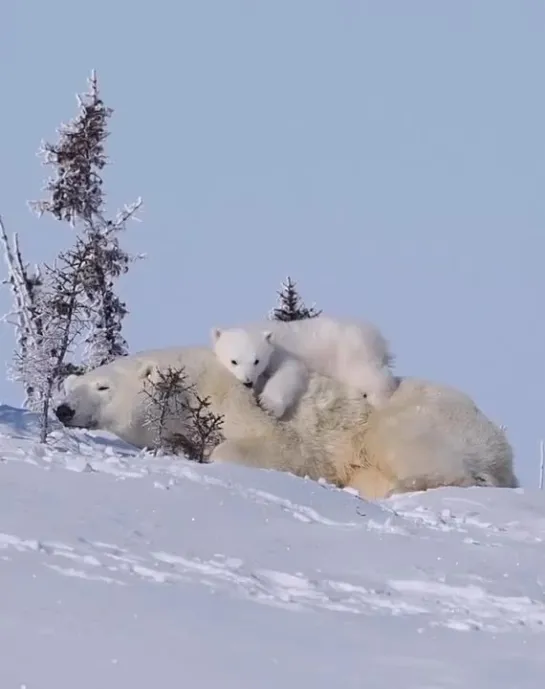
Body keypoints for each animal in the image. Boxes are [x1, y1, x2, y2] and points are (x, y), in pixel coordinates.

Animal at [55, 346, 520, 498]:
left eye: (102, 386)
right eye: (71, 386)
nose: (63, 410)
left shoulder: (248, 404)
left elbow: (282, 449)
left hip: (421, 417)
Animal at [209, 314, 396, 416]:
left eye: (257, 361)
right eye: (234, 361)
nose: (247, 382)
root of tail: (378, 337)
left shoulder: (281, 352)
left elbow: (291, 370)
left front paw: (268, 404)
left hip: (349, 352)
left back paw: (378, 398)